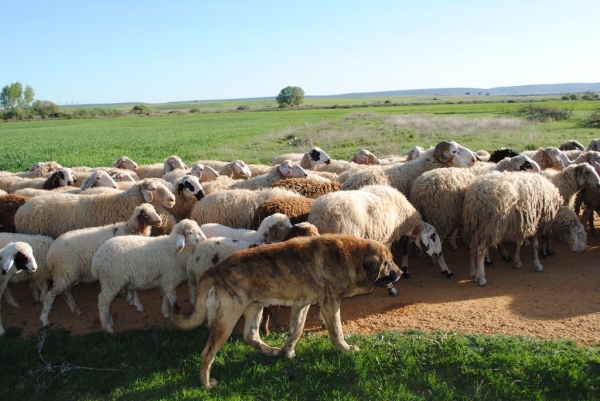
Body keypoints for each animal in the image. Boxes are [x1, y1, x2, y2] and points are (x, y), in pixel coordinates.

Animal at [171, 231, 400, 388]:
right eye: (389, 262)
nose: (400, 274)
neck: (351, 256)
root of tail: (214, 270)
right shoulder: (330, 304)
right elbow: (337, 332)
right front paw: (345, 349)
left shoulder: (301, 305)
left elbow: (295, 331)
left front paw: (287, 351)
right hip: (226, 321)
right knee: (207, 354)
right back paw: (206, 383)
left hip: (255, 308)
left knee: (250, 336)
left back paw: (271, 351)